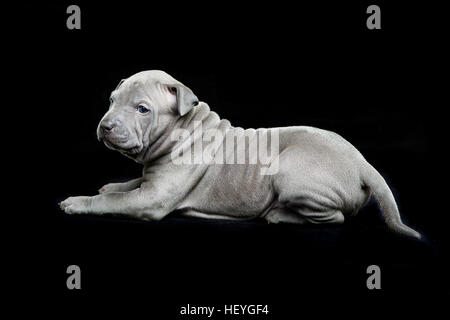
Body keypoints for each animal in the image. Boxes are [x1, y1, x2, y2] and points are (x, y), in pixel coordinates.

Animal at [59, 70, 422, 240]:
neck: (185, 128)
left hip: (291, 172)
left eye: (142, 109)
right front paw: (112, 184)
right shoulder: (151, 179)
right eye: (111, 99)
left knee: (336, 218)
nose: (105, 126)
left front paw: (79, 201)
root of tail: (363, 163)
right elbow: (130, 184)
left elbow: (114, 201)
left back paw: (279, 215)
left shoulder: (152, 198)